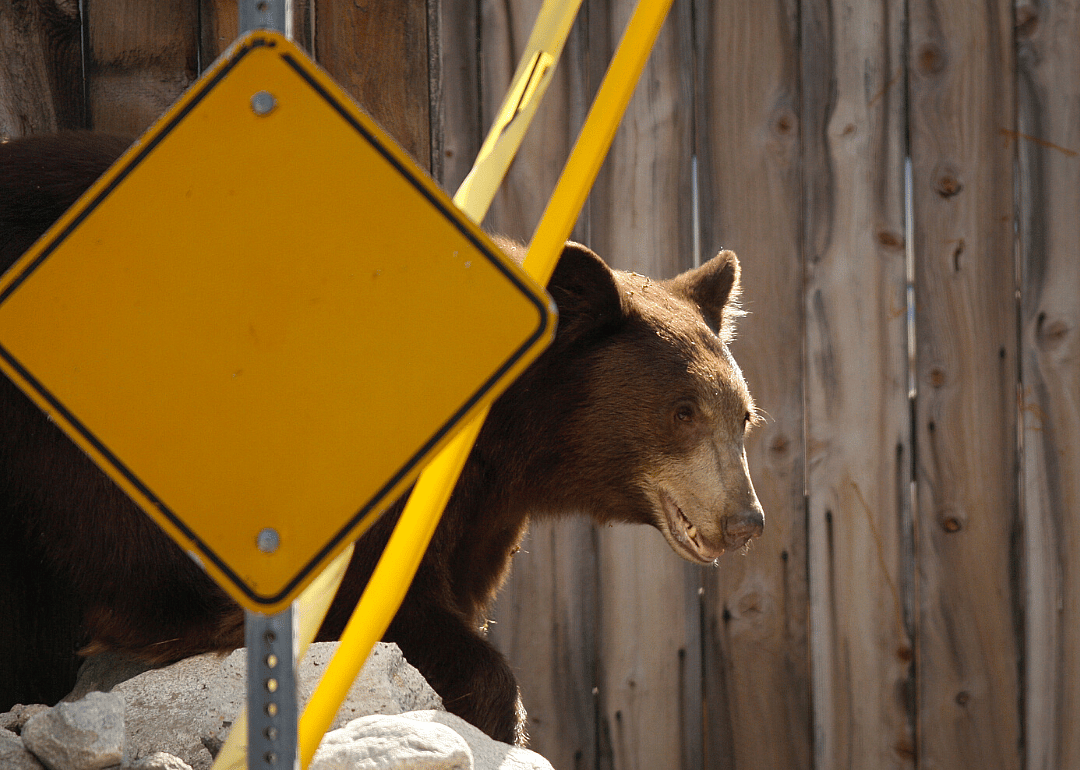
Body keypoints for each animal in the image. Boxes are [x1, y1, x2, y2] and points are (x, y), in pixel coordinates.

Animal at [0, 131, 764, 745]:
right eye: (682, 411)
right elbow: (378, 606)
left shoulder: (483, 506)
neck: (504, 437)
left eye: (744, 416)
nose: (746, 520)